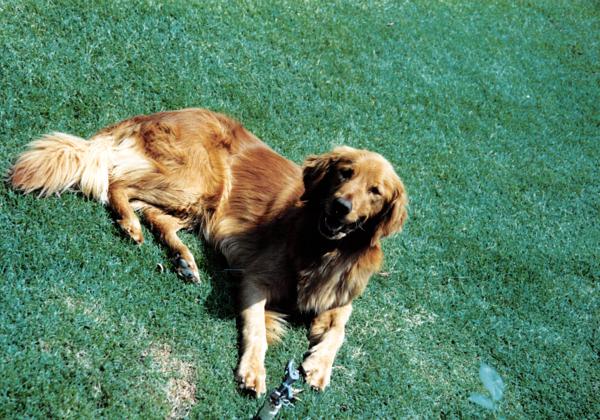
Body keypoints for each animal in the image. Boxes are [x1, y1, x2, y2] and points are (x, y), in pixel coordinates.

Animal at [10, 107, 408, 394]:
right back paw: (129, 224)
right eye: (345, 172)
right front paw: (254, 371)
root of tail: (156, 115)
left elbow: (340, 328)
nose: (341, 207)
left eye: (375, 191)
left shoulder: (339, 294)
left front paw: (319, 366)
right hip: (198, 183)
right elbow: (257, 329)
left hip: (199, 202)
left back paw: (183, 260)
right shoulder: (255, 279)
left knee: (155, 214)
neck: (322, 249)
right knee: (119, 183)